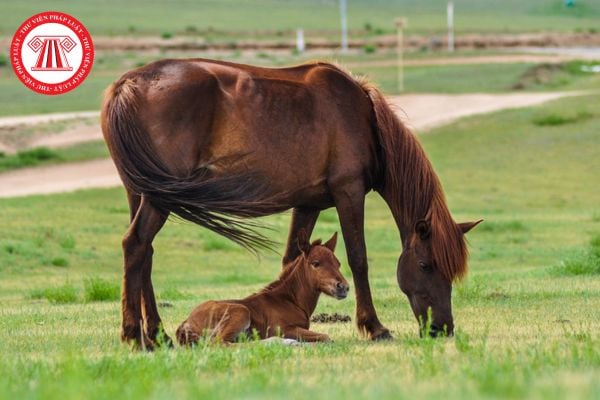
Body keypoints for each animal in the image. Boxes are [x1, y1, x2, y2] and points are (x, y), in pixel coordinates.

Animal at [176, 233, 350, 346]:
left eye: (338, 263)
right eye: (316, 263)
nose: (343, 287)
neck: (290, 300)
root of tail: (187, 322)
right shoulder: (283, 328)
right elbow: (325, 337)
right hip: (240, 312)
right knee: (221, 344)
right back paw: (281, 342)